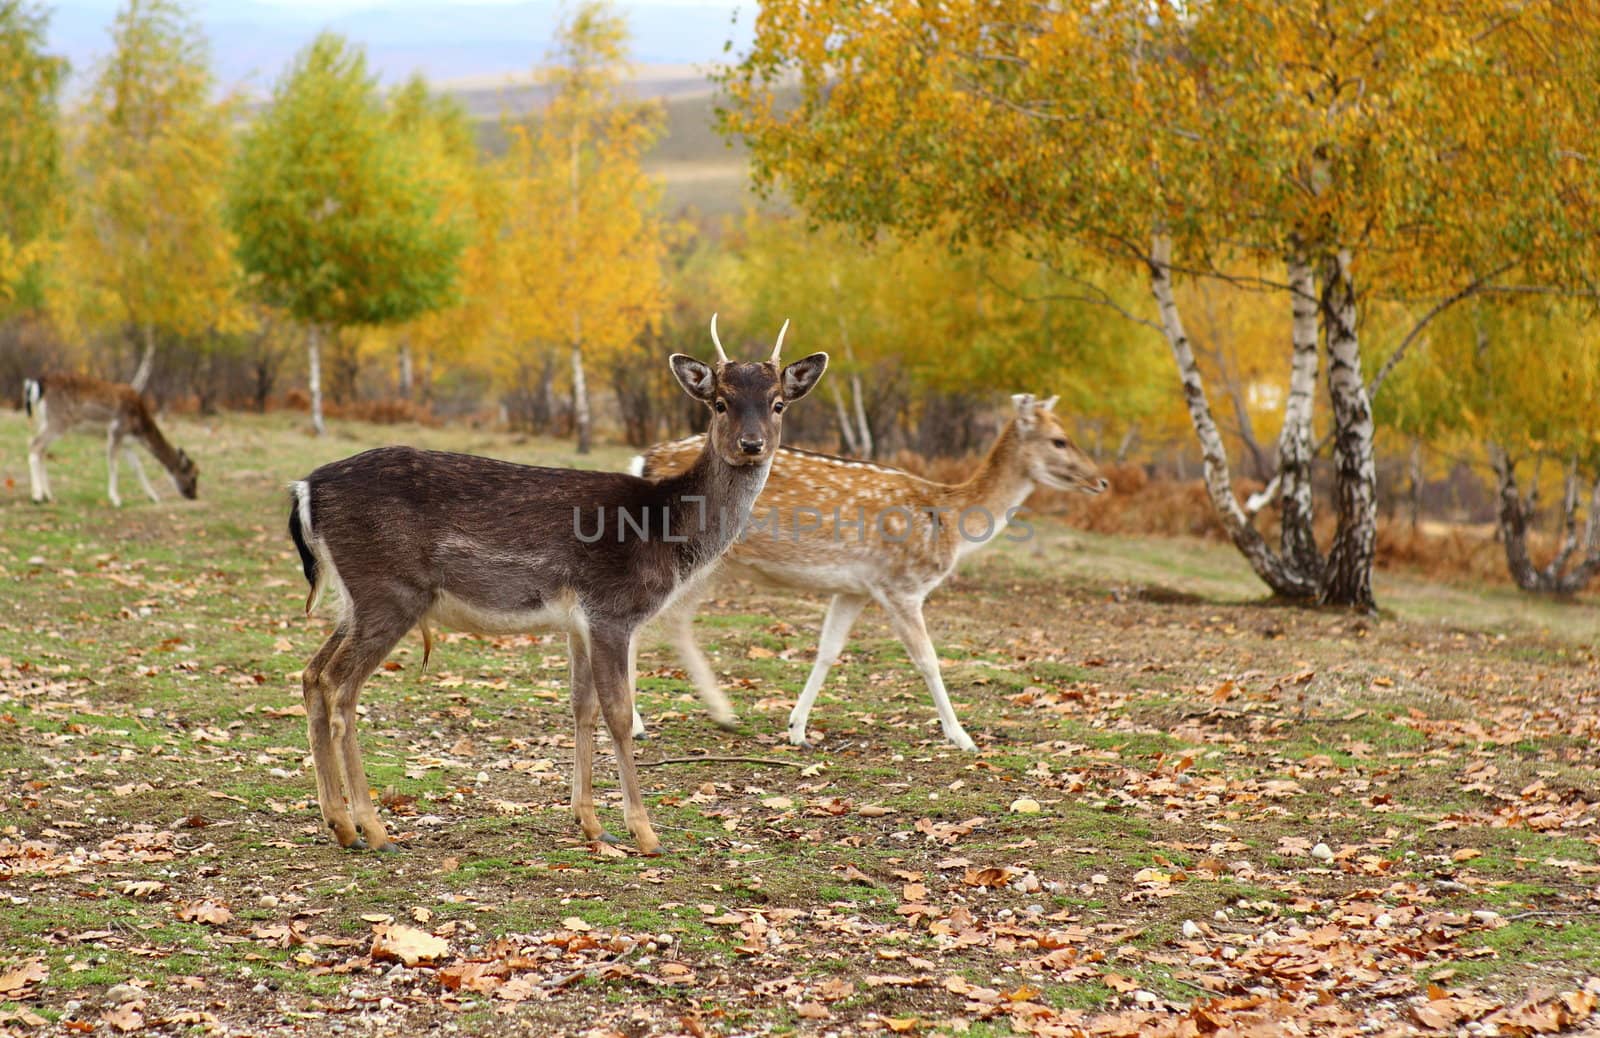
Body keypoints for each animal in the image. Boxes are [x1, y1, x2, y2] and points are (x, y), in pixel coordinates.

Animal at [24, 372, 203, 505]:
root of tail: (38, 384)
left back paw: (48, 495)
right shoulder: (116, 431)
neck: (139, 428)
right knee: (35, 445)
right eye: (193, 476)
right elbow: (113, 464)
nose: (194, 496)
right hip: (58, 421)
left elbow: (137, 467)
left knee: (41, 451)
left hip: (44, 420)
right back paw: (37, 496)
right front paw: (116, 499)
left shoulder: (127, 443)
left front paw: (153, 497)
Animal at [289, 319, 832, 857]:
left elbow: (581, 708)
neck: (666, 530)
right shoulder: (612, 608)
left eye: (778, 403)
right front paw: (645, 833)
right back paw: (374, 830)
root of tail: (304, 488)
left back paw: (339, 822)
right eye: (720, 402)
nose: (751, 444)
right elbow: (619, 712)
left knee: (312, 673)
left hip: (356, 598)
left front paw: (592, 824)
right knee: (341, 687)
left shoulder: (578, 623)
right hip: (390, 589)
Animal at [630, 393, 1107, 748]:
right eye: (1059, 440)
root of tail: (643, 460)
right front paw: (962, 737)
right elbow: (928, 659)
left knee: (670, 620)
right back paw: (648, 722)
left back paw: (715, 714)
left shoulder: (854, 589)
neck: (950, 521)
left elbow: (828, 650)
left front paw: (797, 729)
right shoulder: (901, 586)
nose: (1101, 481)